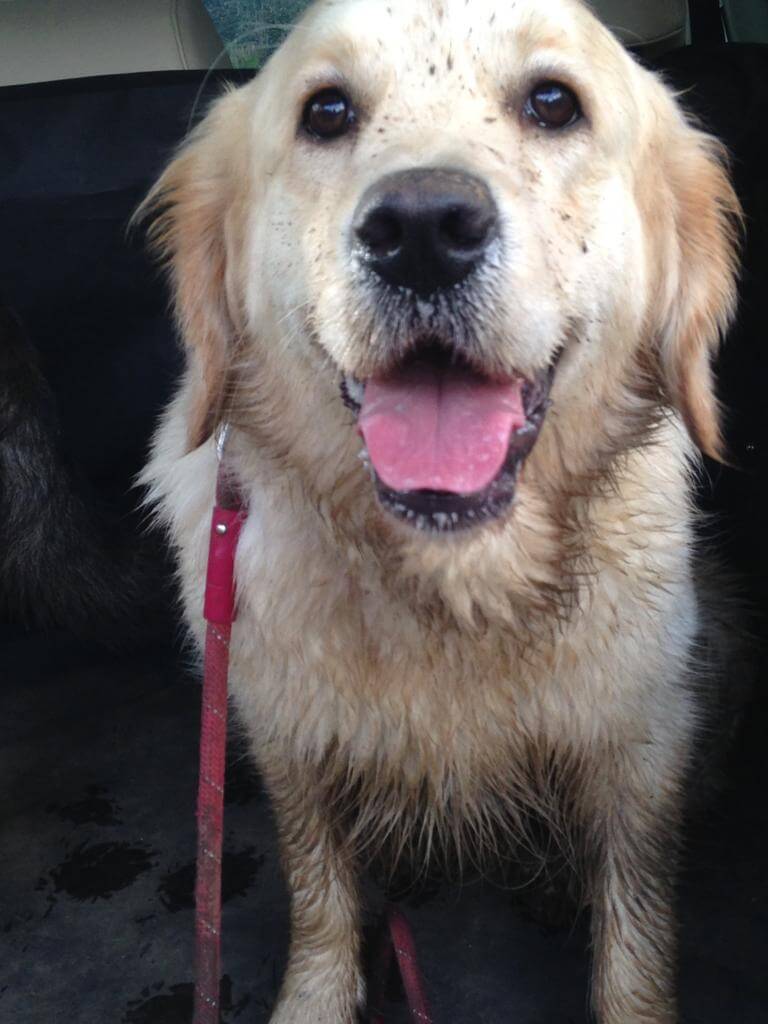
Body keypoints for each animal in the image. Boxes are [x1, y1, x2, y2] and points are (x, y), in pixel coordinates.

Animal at [137, 0, 741, 1019]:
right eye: (327, 111)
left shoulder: (642, 744)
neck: (453, 579)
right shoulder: (282, 729)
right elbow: (319, 891)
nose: (422, 229)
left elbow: (634, 930)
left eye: (553, 102)